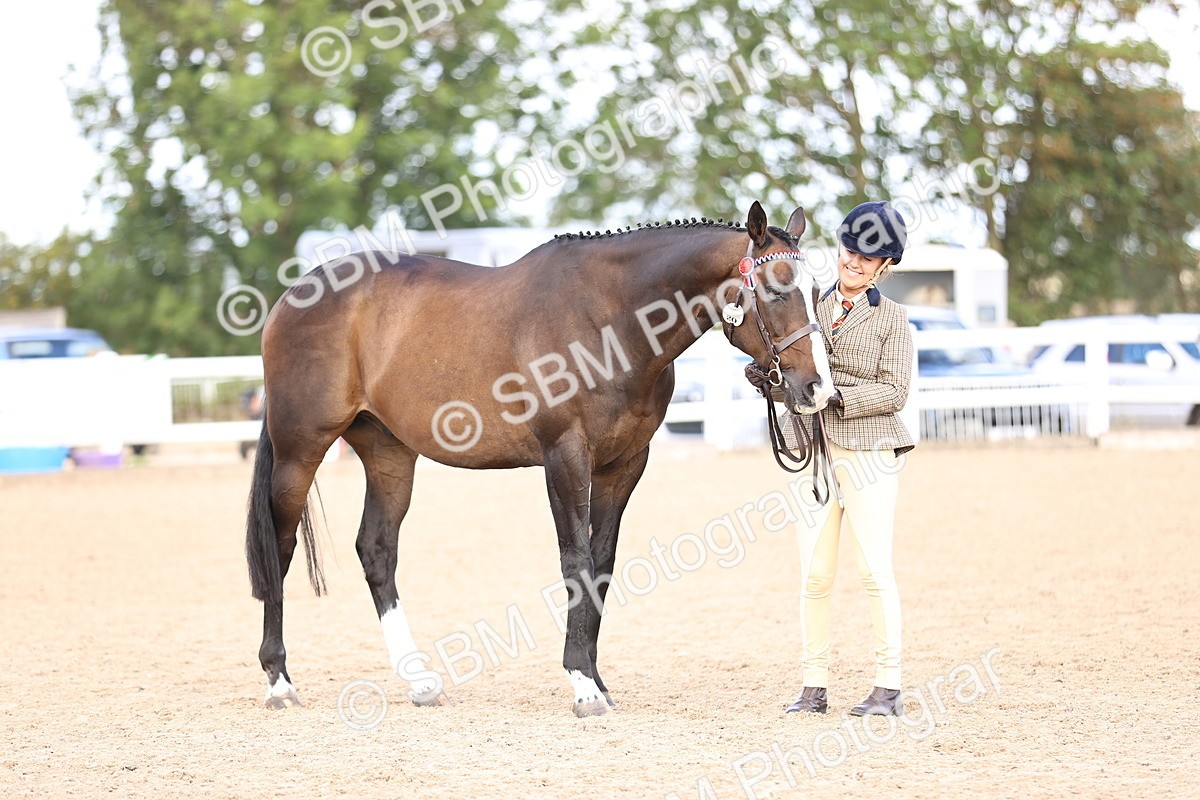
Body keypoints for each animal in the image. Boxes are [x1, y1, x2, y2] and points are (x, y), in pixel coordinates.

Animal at [245, 201, 835, 717]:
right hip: (300, 451)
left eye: (817, 291)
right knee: (280, 547)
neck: (609, 318)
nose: (817, 389)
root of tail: (293, 296)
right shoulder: (564, 457)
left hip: (389, 454)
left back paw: (419, 681)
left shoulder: (625, 464)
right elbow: (575, 562)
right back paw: (279, 681)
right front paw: (583, 686)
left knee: (377, 550)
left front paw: (598, 680)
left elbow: (601, 565)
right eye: (777, 289)